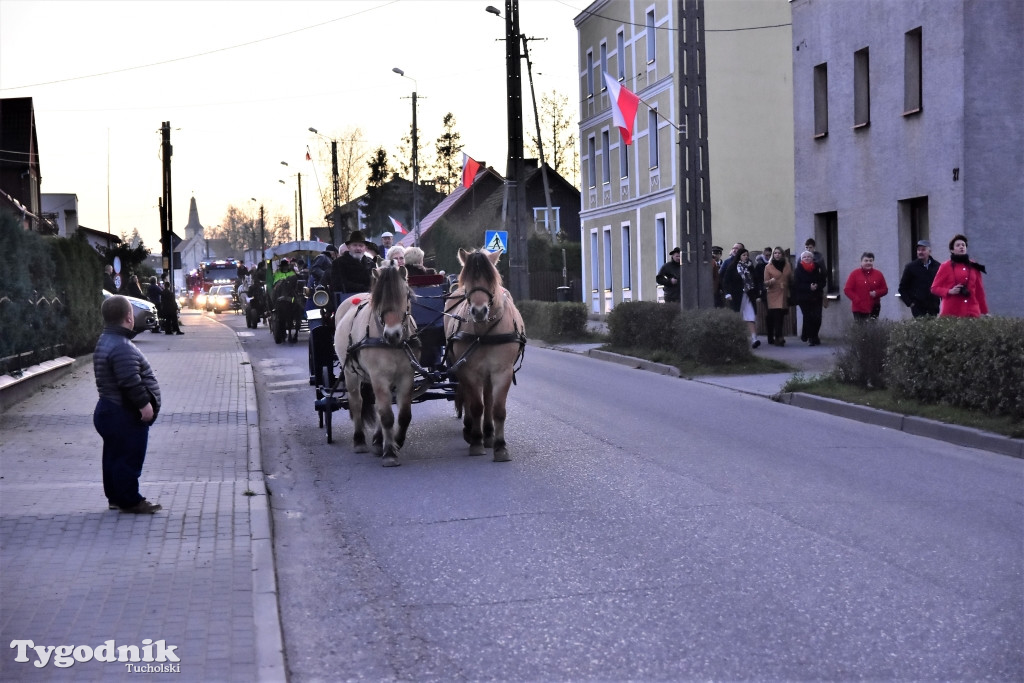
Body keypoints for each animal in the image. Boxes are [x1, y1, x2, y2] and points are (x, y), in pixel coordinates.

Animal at [335, 264, 415, 466]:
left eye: (406, 294)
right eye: (378, 299)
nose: (392, 334)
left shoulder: (406, 377)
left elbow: (404, 415)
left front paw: (396, 442)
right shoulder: (379, 377)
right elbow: (386, 415)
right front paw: (390, 453)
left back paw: (379, 441)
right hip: (350, 373)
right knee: (357, 403)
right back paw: (359, 440)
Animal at [446, 248, 528, 462]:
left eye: (492, 280)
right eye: (467, 280)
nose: (479, 311)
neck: (484, 332)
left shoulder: (502, 371)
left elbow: (497, 408)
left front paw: (500, 446)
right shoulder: (470, 370)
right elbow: (476, 406)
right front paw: (476, 441)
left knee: (489, 398)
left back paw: (489, 434)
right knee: (468, 396)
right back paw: (470, 430)